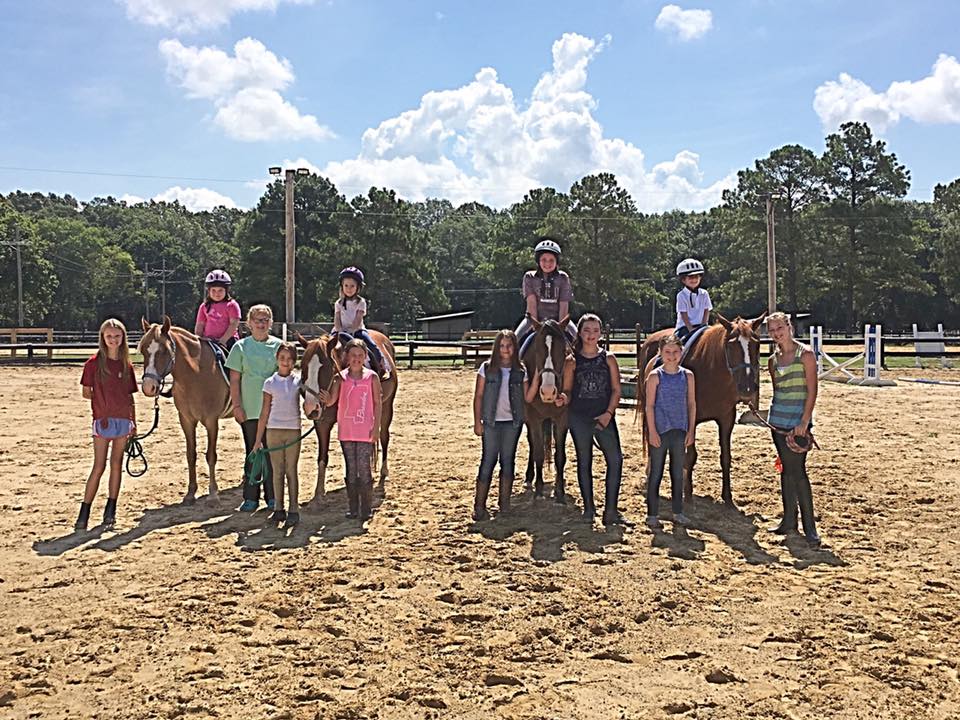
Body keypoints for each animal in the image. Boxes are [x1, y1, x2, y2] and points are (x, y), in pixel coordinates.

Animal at [139, 318, 232, 504]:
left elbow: (211, 455)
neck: (197, 373)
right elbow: (191, 455)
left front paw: (213, 493)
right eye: (143, 350)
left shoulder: (211, 421)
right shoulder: (186, 420)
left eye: (163, 351)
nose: (148, 387)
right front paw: (190, 492)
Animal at [300, 330, 398, 504]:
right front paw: (319, 492)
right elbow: (323, 457)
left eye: (325, 367)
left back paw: (383, 472)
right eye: (303, 367)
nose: (311, 409)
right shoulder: (322, 423)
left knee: (384, 437)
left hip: (387, 407)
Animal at [636, 314, 764, 506]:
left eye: (756, 344)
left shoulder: (727, 419)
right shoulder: (691, 419)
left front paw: (727, 497)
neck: (712, 371)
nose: (747, 388)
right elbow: (690, 456)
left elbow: (725, 457)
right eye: (731, 345)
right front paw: (688, 495)